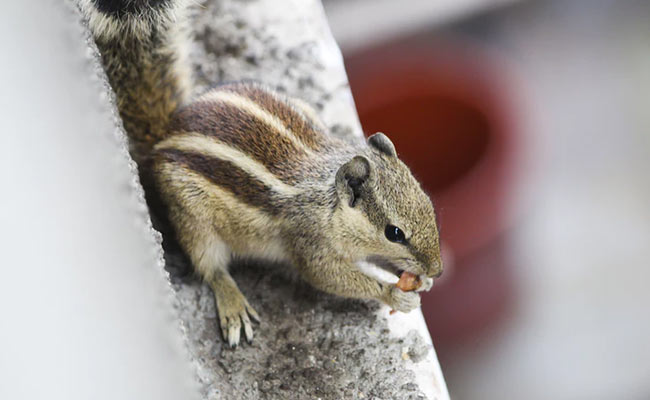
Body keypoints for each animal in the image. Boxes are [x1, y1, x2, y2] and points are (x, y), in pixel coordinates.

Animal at [80, 0, 443, 347]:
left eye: (428, 204)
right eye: (394, 233)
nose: (438, 271)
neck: (329, 203)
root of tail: (165, 135)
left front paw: (420, 281)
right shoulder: (310, 242)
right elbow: (327, 276)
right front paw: (393, 293)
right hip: (192, 217)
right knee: (210, 267)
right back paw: (233, 303)